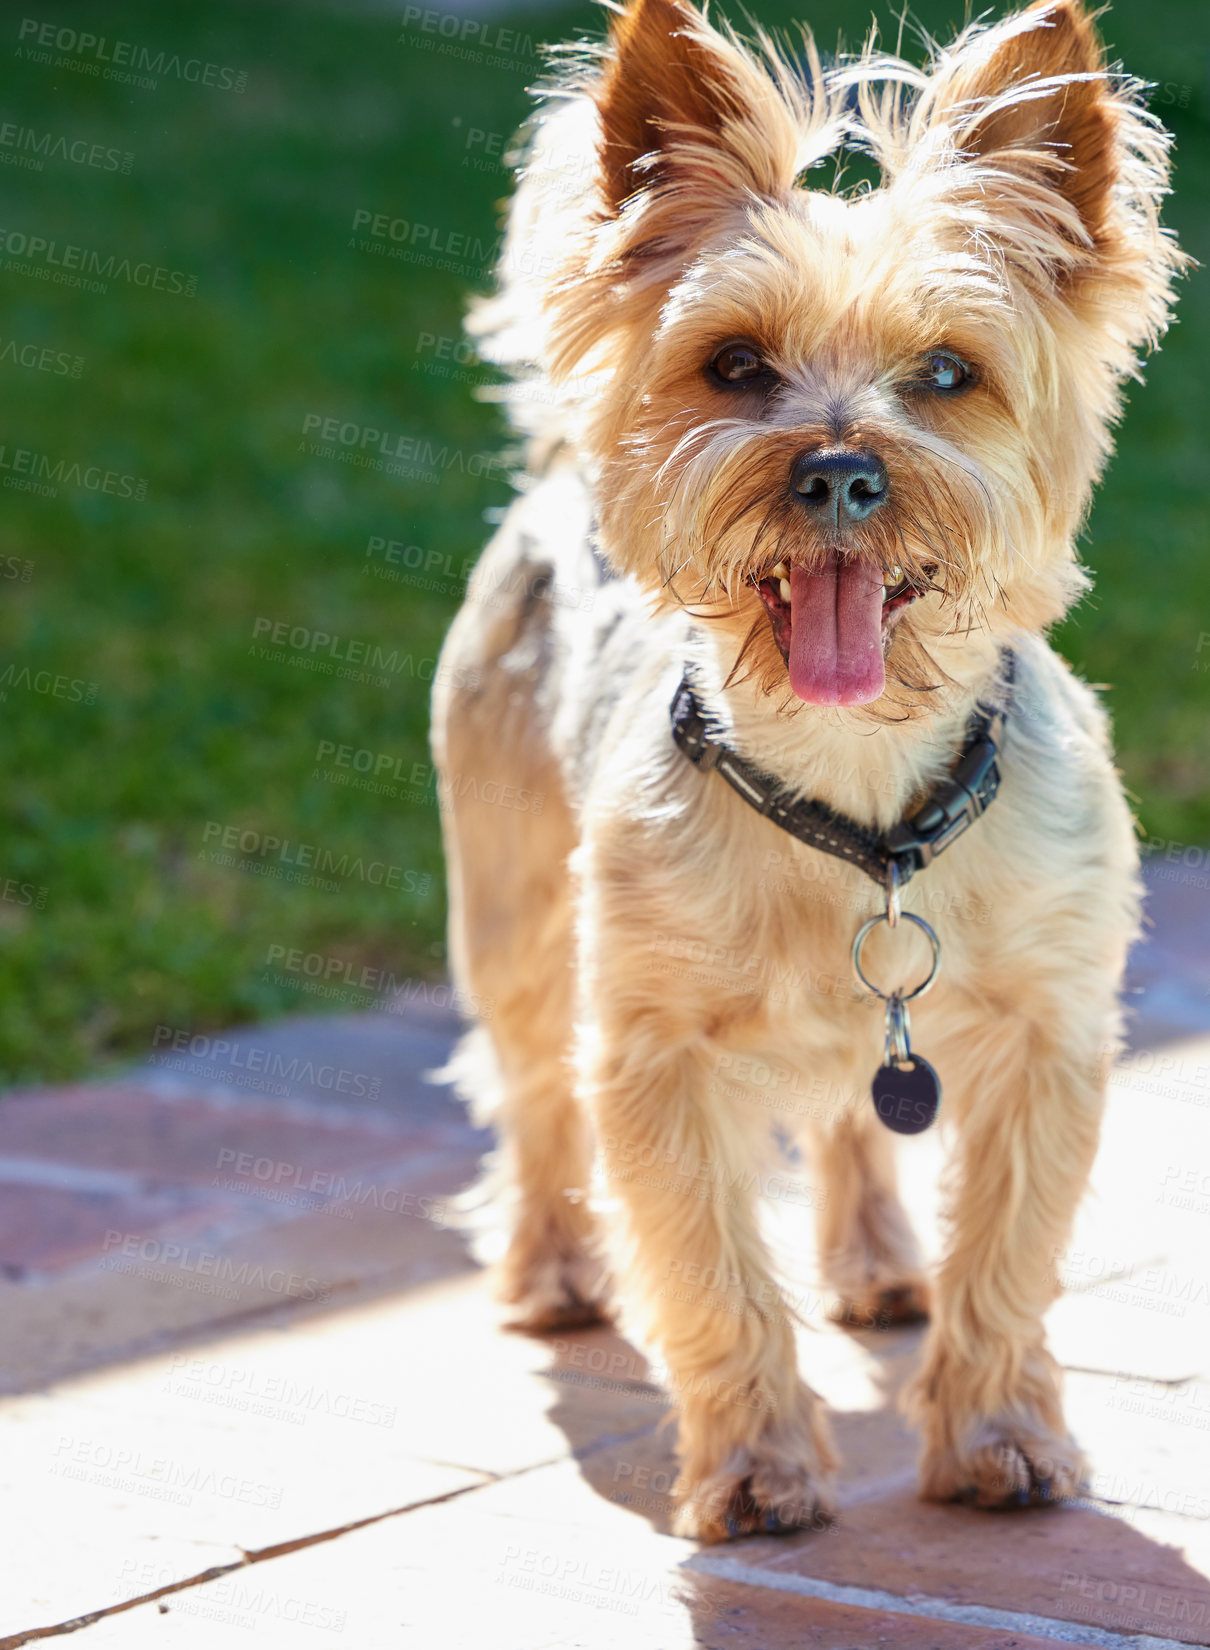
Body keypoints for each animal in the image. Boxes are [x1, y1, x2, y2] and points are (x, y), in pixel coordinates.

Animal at [432, 0, 1181, 1544]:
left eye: (947, 373)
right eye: (732, 364)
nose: (837, 470)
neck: (860, 781)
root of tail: (555, 477)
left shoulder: (1048, 1036)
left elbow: (1007, 1254)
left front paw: (1000, 1436)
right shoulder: (651, 1050)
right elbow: (709, 1276)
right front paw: (755, 1468)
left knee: (856, 1115)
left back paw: (882, 1261)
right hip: (510, 907)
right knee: (530, 1087)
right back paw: (549, 1271)